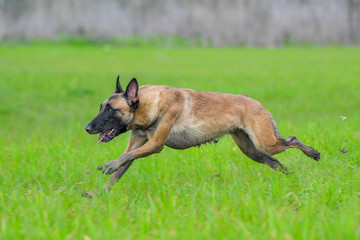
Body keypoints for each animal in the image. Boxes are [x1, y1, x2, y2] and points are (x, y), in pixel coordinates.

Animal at [85, 76, 320, 189]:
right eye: (101, 106)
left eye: (110, 109)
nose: (87, 128)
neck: (146, 104)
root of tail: (251, 100)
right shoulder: (139, 142)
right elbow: (123, 164)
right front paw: (98, 193)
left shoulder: (155, 145)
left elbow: (125, 157)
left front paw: (108, 165)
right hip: (252, 151)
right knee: (276, 162)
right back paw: (290, 176)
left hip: (266, 142)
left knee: (291, 140)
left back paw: (312, 153)